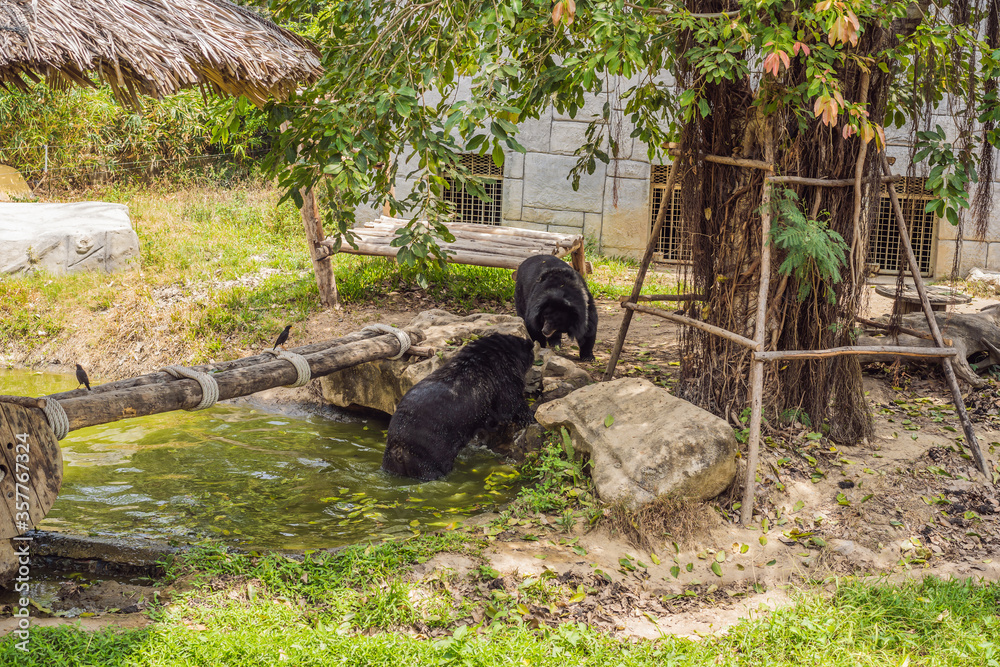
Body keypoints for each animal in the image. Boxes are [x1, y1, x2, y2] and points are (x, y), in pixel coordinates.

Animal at [381, 333, 535, 481]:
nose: (532, 344)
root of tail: (398, 450)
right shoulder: (505, 380)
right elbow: (512, 404)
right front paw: (530, 417)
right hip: (428, 456)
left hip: (391, 461)